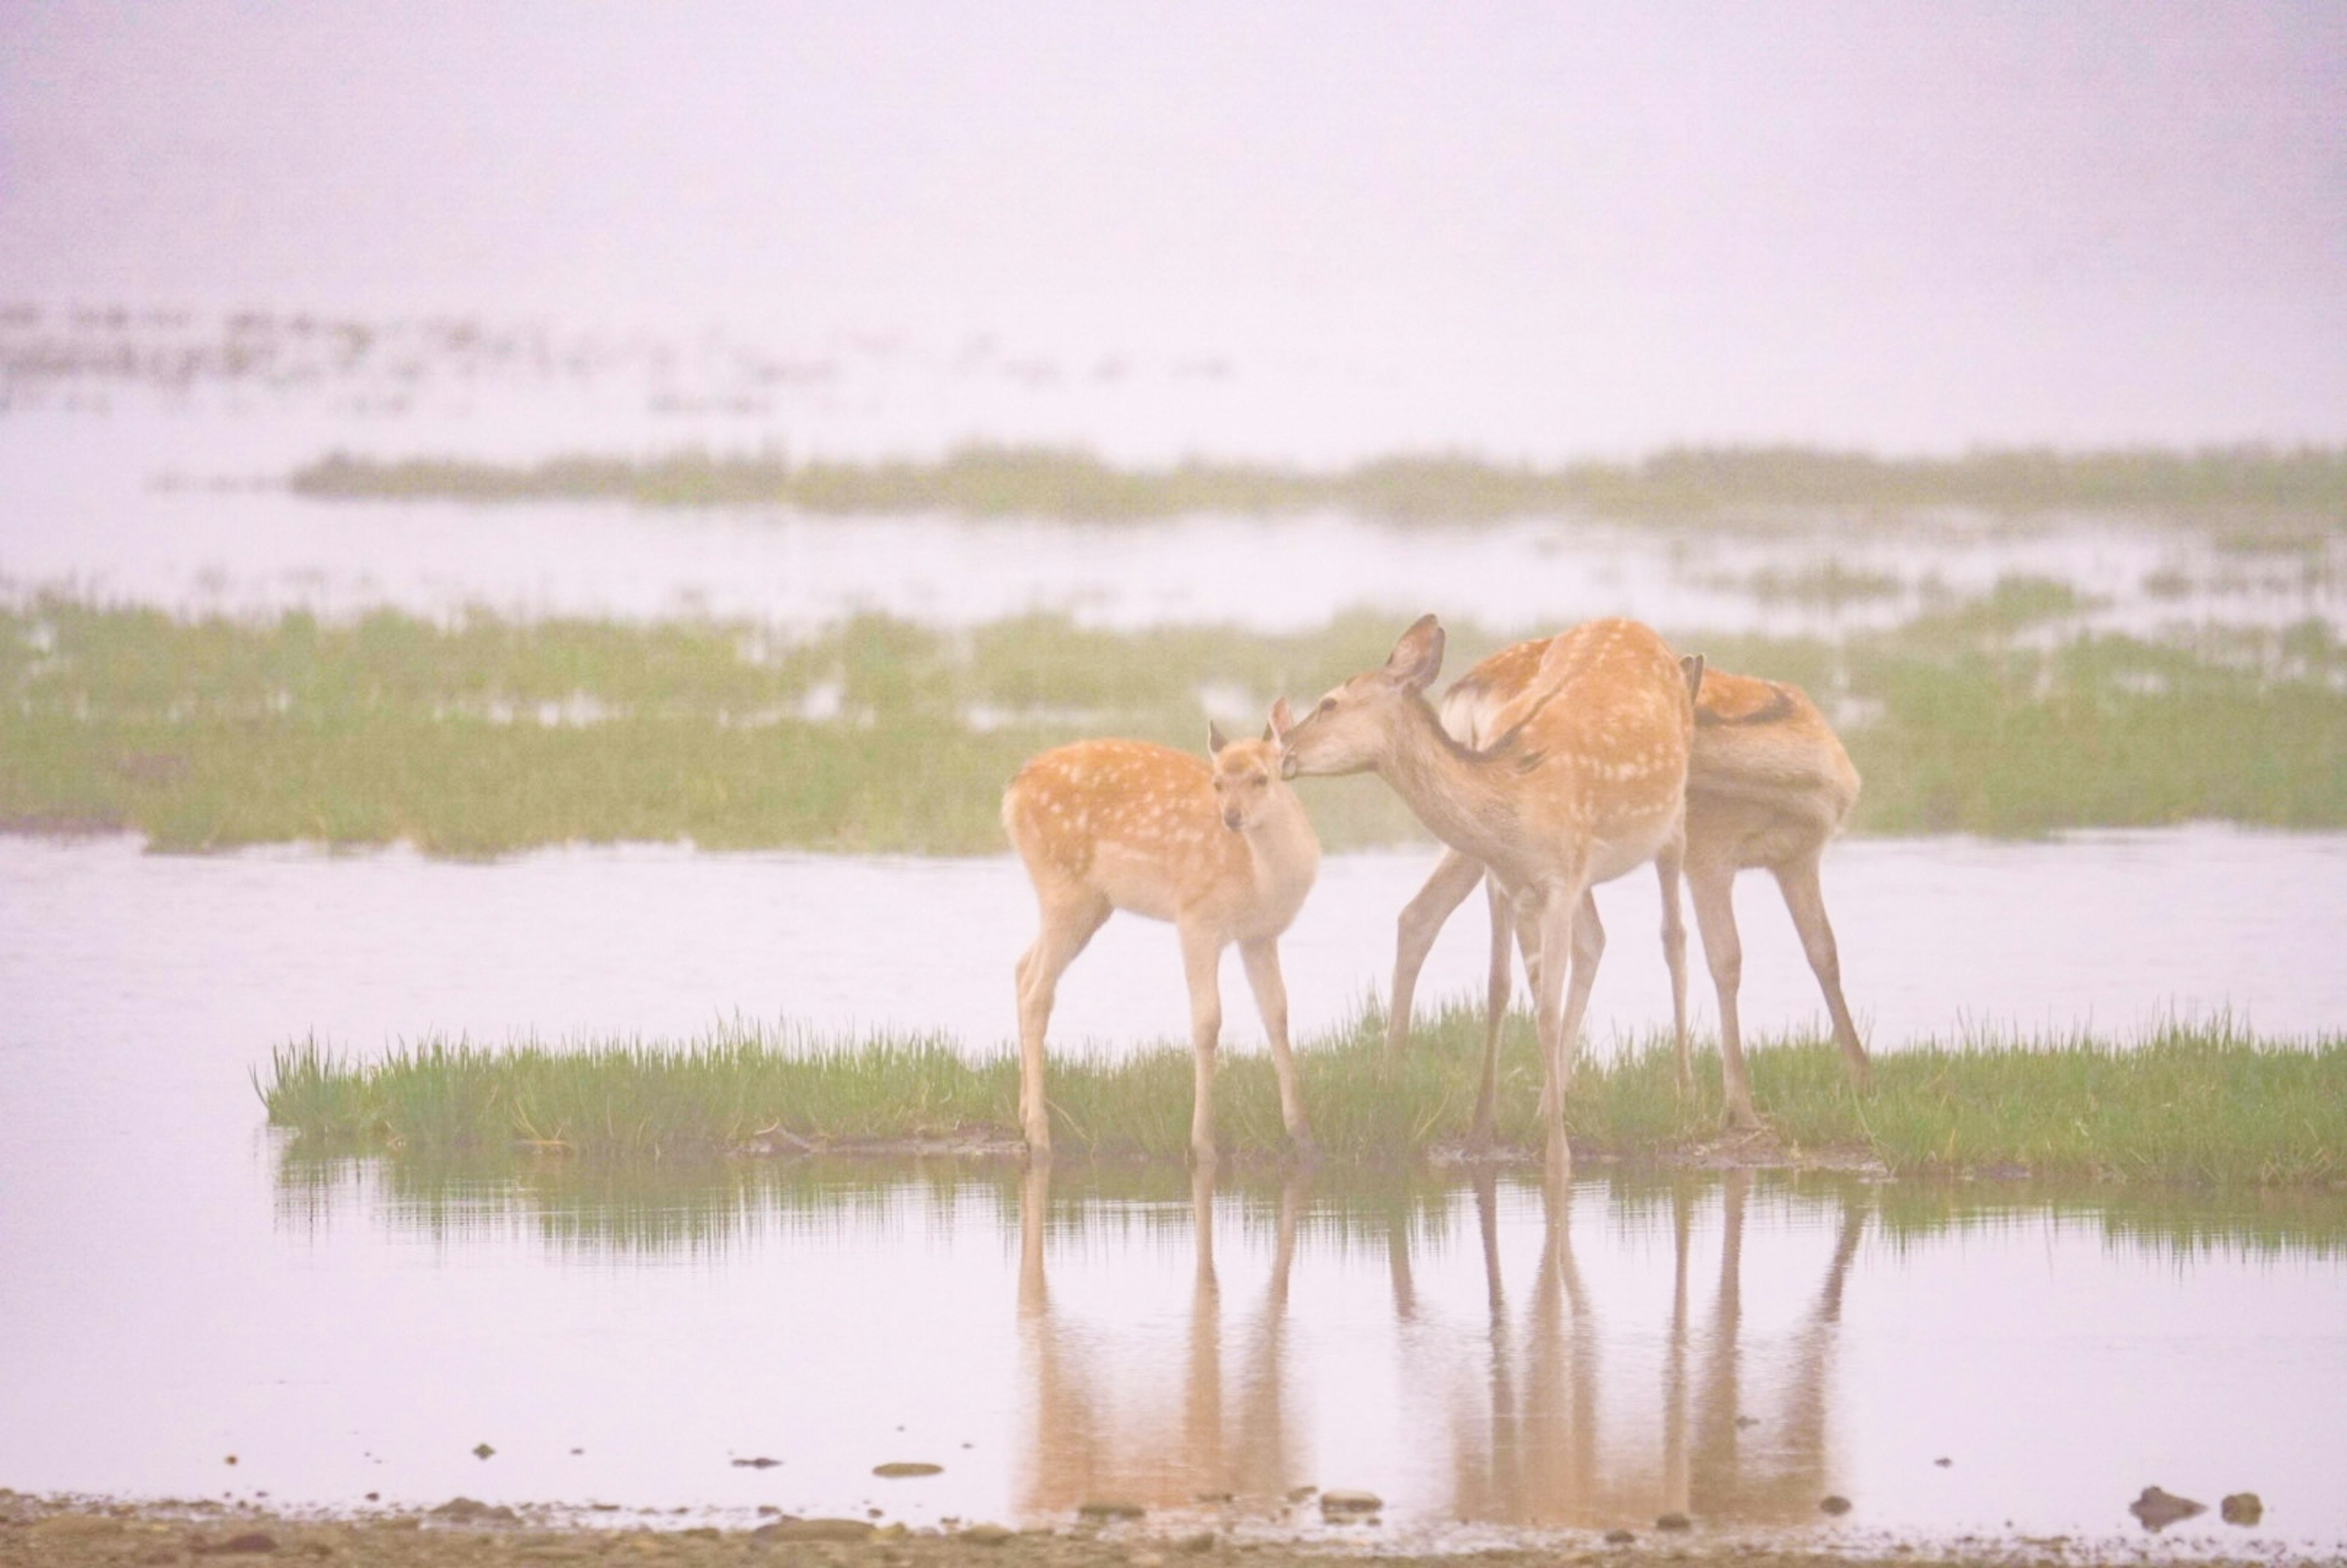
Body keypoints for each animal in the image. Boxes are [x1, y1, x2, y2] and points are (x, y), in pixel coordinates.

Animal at [999, 709, 1323, 1164]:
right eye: (1217, 782)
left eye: (1263, 778)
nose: (1232, 817)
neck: (1261, 878)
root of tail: (1013, 790)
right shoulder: (1196, 918)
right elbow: (1207, 1020)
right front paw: (1203, 1141)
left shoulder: (1260, 934)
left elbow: (1277, 1014)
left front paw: (1302, 1134)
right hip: (1064, 887)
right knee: (1037, 992)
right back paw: (1040, 1135)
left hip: (1091, 904)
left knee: (1022, 968)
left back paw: (1024, 1115)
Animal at [1276, 610, 1699, 1164]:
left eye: (1330, 702)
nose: (1282, 751)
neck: (1513, 798)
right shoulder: (1507, 877)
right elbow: (1500, 987)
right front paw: (1484, 1129)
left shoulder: (1560, 880)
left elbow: (1546, 1011)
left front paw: (1557, 1151)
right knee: (1594, 941)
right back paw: (1553, 1097)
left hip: (1674, 820)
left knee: (1674, 937)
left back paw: (1684, 1089)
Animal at [1370, 629, 1868, 1131]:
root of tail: (1466, 692)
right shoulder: (1707, 855)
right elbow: (1719, 956)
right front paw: (1735, 1105)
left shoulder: (1801, 857)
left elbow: (1825, 952)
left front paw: (1859, 1073)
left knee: (1421, 915)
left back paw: (1395, 1073)